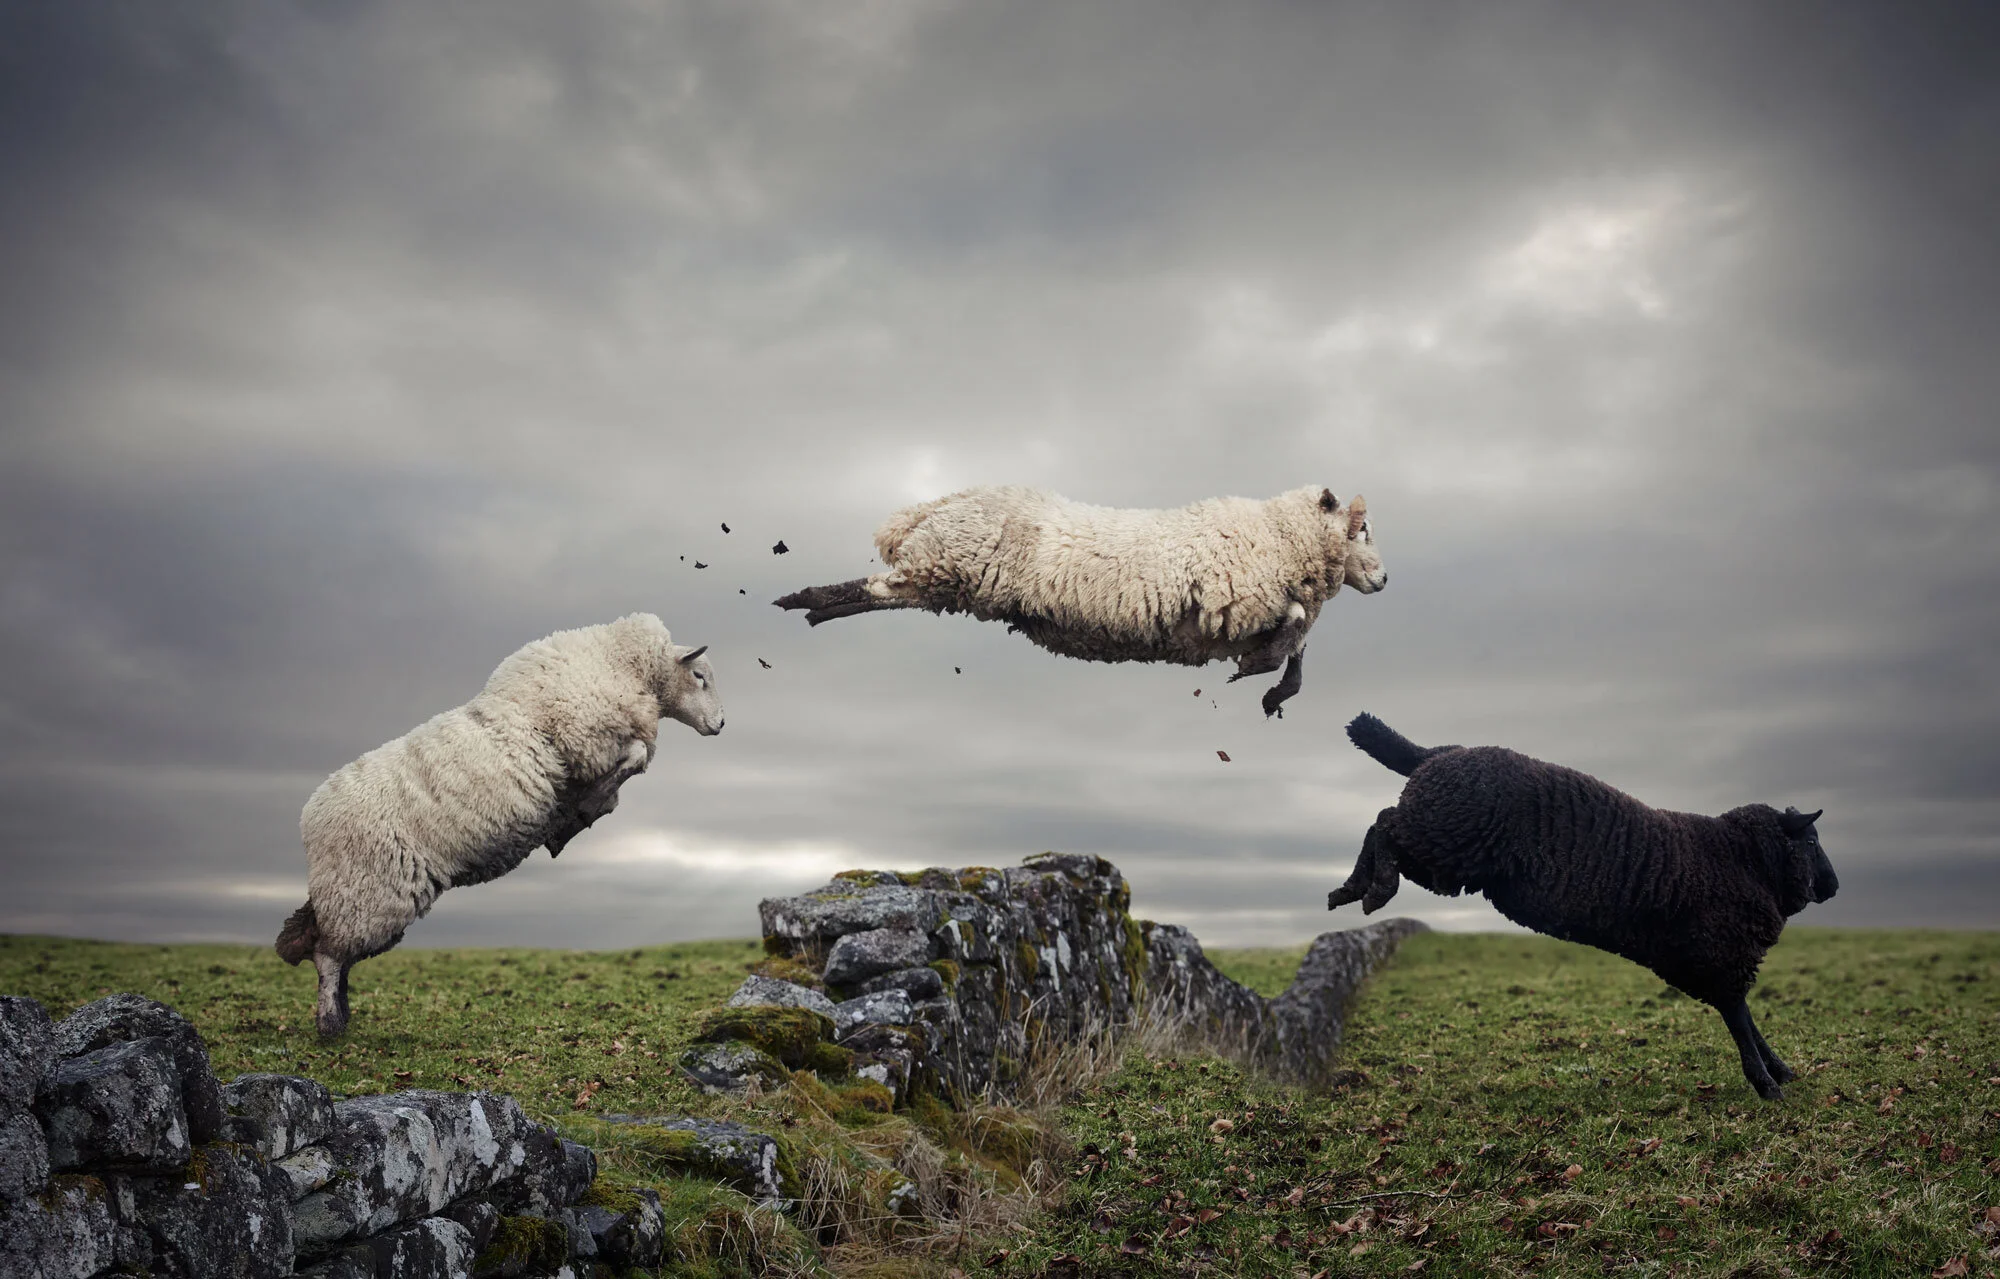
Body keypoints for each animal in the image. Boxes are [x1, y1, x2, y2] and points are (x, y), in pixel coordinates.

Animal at [273, 613, 724, 1037]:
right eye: (699, 676)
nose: (721, 725)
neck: (623, 662)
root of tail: (310, 822)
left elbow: (628, 769)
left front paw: (579, 816)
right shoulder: (588, 739)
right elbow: (635, 756)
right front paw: (577, 817)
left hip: (356, 896)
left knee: (330, 953)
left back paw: (342, 1014)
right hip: (367, 895)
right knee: (328, 956)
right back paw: (330, 1023)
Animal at [774, 485, 1387, 716]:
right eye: (1362, 529)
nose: (1384, 581)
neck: (1280, 536)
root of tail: (937, 506)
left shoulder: (1247, 613)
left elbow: (1299, 644)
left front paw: (1276, 687)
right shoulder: (1233, 604)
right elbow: (1296, 629)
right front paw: (1259, 673)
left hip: (944, 575)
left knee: (878, 595)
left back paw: (810, 610)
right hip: (945, 564)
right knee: (873, 590)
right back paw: (802, 601)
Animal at [1327, 713, 1838, 1101]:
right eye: (1811, 841)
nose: (1833, 888)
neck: (1739, 857)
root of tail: (1436, 754)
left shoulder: (1715, 964)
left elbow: (1746, 1019)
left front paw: (1779, 1071)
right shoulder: (1722, 956)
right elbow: (1741, 1022)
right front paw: (1768, 1085)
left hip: (1444, 849)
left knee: (1384, 825)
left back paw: (1351, 889)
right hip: (1443, 839)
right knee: (1384, 824)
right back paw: (1368, 890)